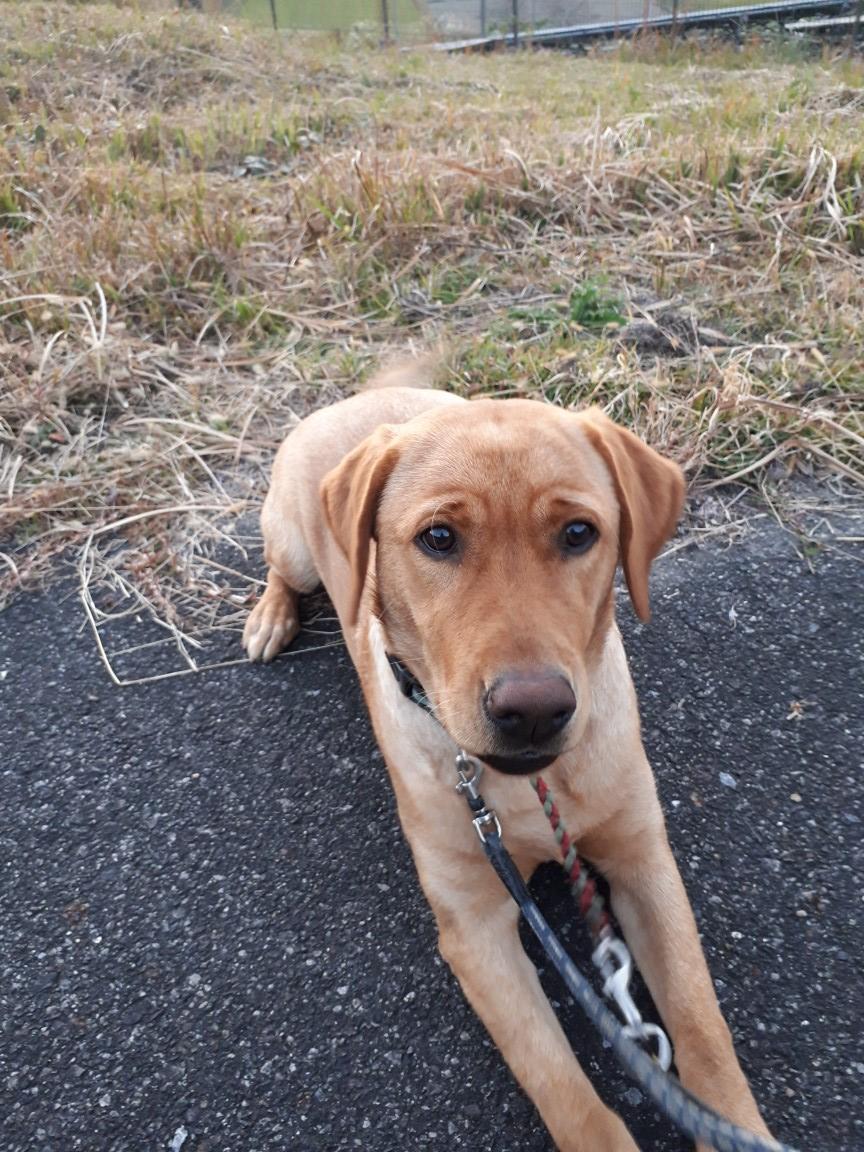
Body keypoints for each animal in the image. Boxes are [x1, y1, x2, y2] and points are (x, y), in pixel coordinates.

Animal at [243, 361, 775, 1151]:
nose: (532, 711)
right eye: (438, 537)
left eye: (579, 532)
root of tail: (369, 397)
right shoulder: (476, 929)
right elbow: (565, 1091)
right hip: (296, 542)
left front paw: (736, 1125)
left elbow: (702, 1026)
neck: (528, 792)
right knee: (282, 568)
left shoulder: (644, 860)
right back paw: (270, 615)